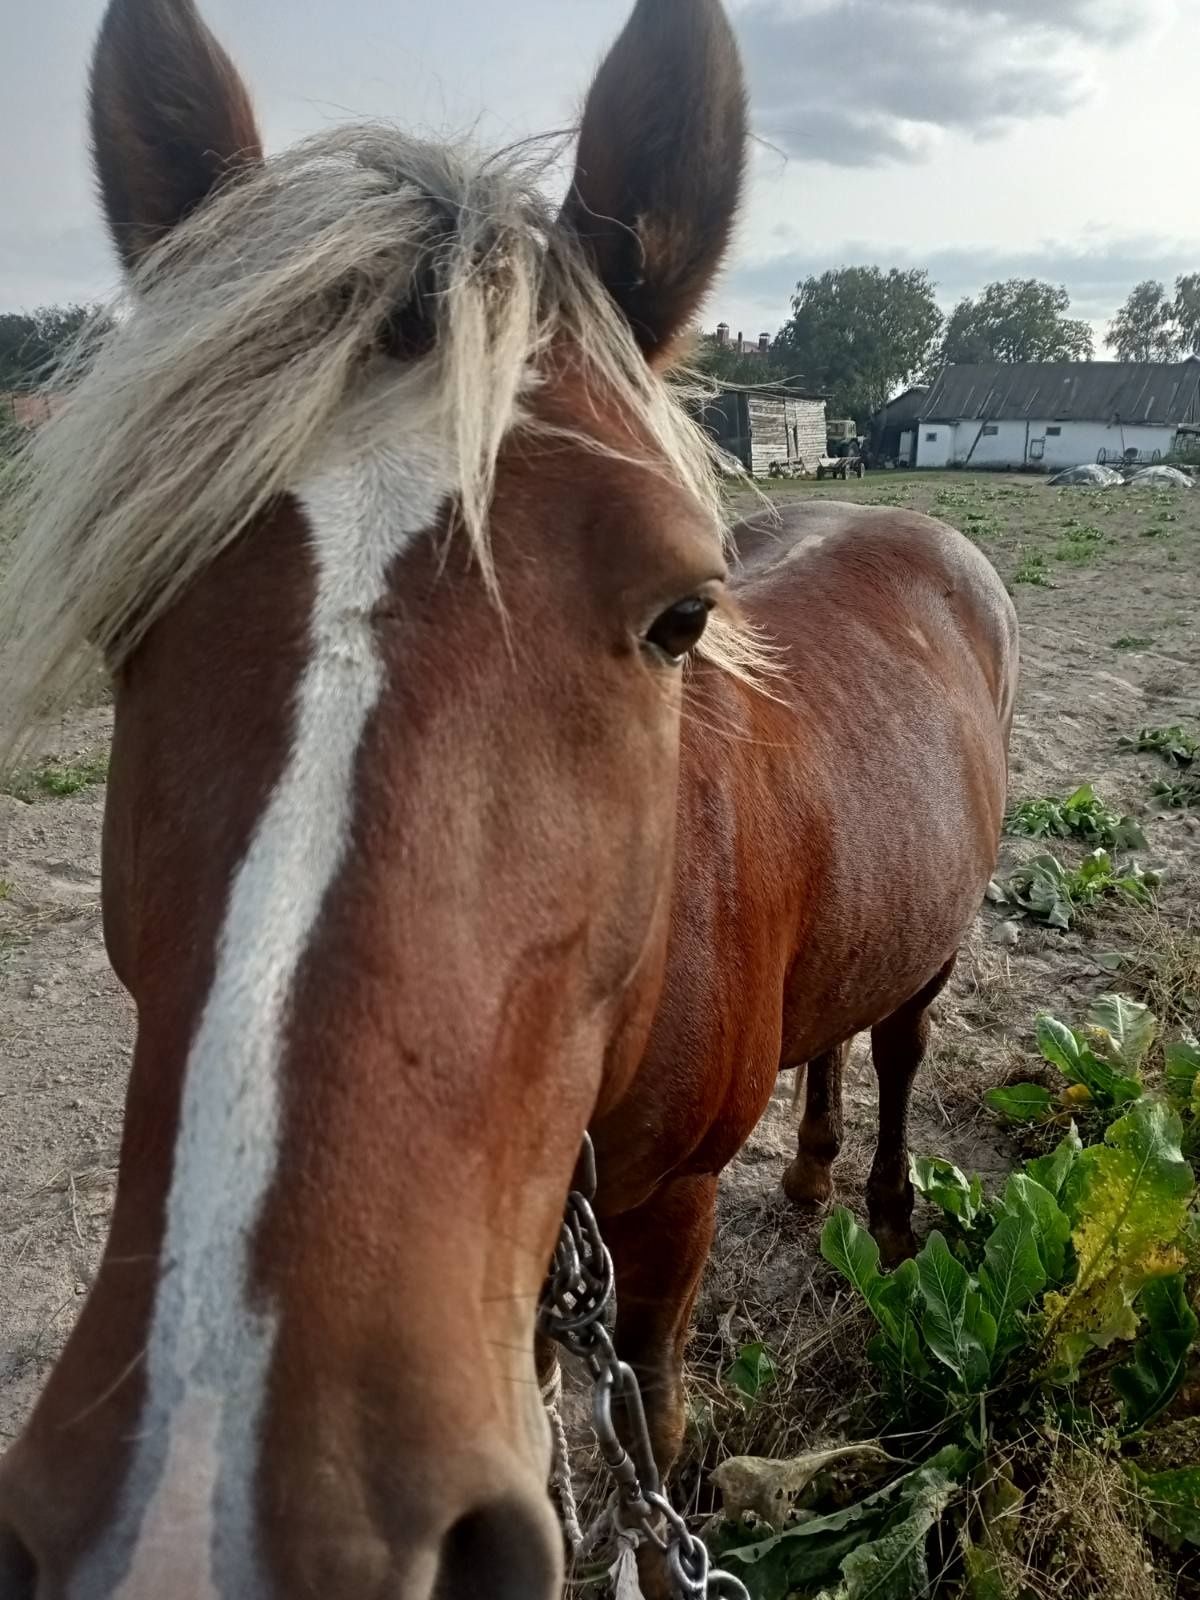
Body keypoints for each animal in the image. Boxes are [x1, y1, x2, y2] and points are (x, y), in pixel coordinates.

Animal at [0, 0, 1017, 1593]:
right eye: (123, 610)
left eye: (682, 613)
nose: (201, 1525)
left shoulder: (663, 1218)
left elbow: (650, 1432)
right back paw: (812, 1172)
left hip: (935, 944)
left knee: (902, 1046)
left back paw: (890, 1210)